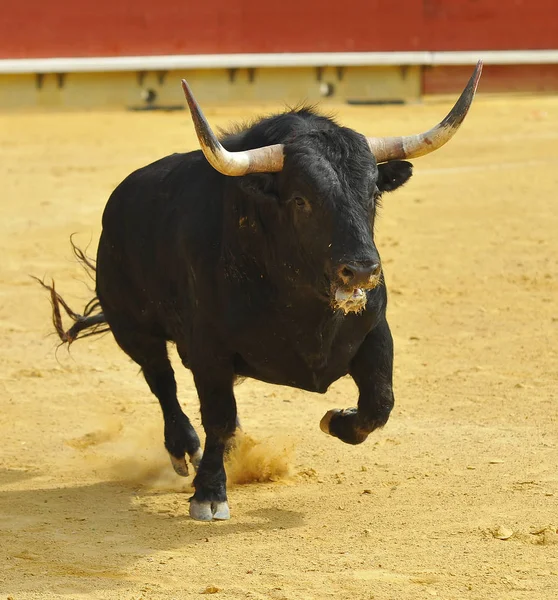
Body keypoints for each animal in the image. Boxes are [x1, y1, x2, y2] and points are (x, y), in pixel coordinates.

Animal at [40, 62, 486, 520]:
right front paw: (209, 493)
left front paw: (334, 419)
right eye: (301, 200)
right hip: (132, 327)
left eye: (373, 193)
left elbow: (379, 403)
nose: (361, 270)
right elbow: (216, 416)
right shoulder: (209, 350)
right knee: (161, 380)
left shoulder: (376, 333)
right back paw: (185, 450)